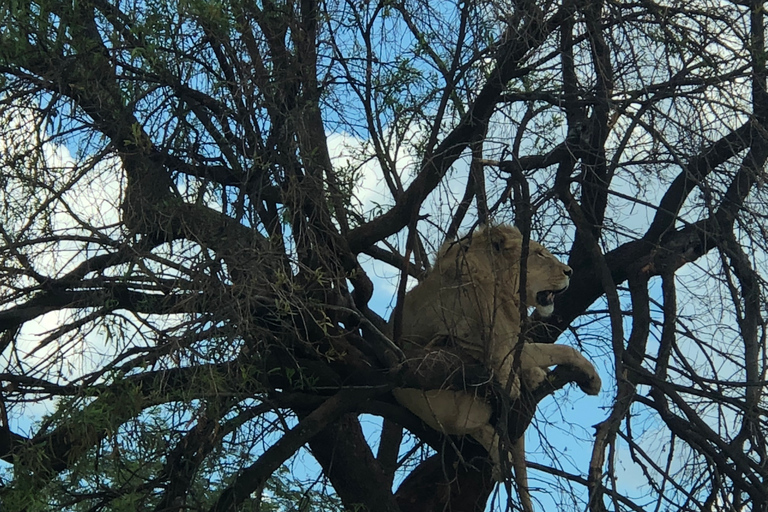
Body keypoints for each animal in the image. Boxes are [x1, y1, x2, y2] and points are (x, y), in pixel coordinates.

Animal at [396, 226, 600, 512]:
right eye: (539, 254)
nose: (569, 271)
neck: (502, 286)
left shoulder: (510, 339)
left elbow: (541, 352)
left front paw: (536, 375)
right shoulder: (499, 346)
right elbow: (563, 349)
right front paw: (593, 380)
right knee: (477, 427)